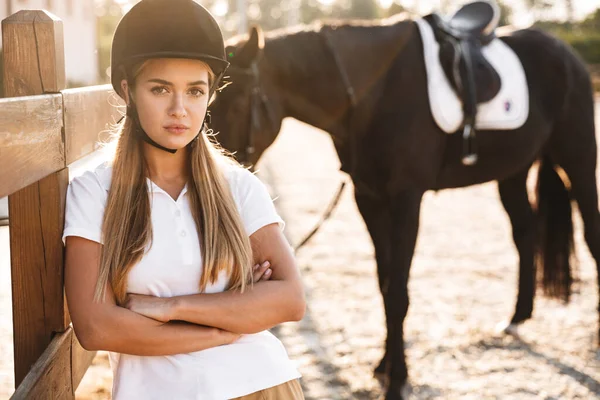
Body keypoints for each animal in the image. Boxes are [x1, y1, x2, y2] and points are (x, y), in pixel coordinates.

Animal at [207, 12, 600, 400]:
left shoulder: (406, 198)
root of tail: (565, 53)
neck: (373, 93)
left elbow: (398, 292)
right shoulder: (369, 199)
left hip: (578, 159)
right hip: (513, 171)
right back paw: (518, 317)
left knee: (590, 235)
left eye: (236, 102)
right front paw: (385, 366)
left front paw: (397, 380)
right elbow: (385, 286)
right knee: (525, 231)